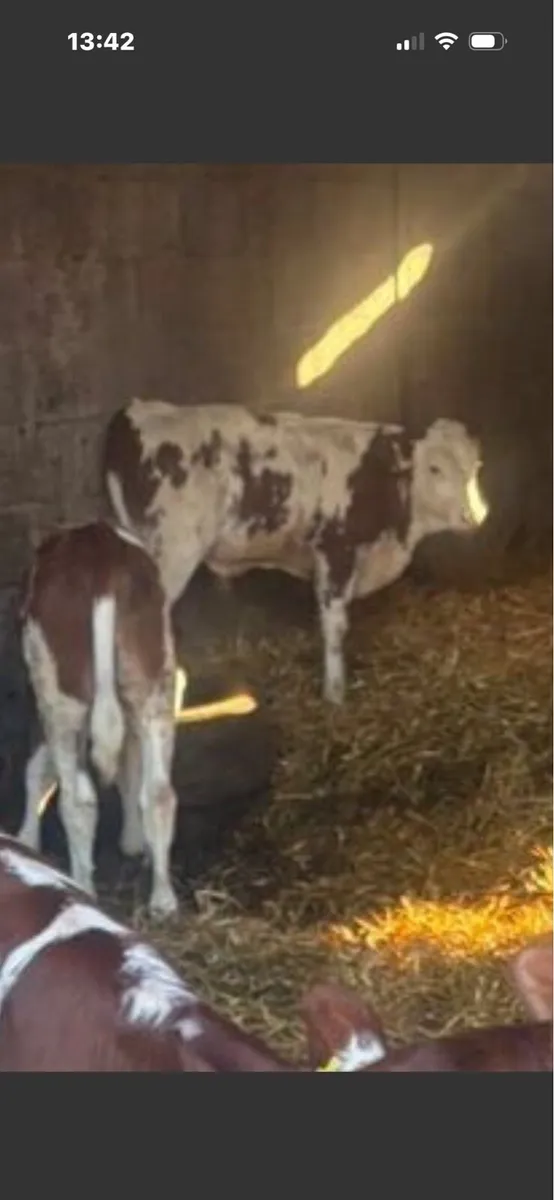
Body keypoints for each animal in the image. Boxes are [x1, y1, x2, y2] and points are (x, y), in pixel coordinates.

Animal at [16, 521, 180, 919]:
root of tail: (99, 547)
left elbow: (36, 770)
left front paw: (25, 841)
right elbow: (130, 768)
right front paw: (134, 843)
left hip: (62, 697)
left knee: (77, 800)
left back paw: (83, 887)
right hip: (153, 682)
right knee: (159, 791)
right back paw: (163, 898)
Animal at [103, 399, 488, 704]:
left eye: (474, 469)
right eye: (434, 469)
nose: (473, 517)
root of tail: (139, 410)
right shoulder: (336, 549)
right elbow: (335, 626)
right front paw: (335, 695)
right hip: (171, 554)